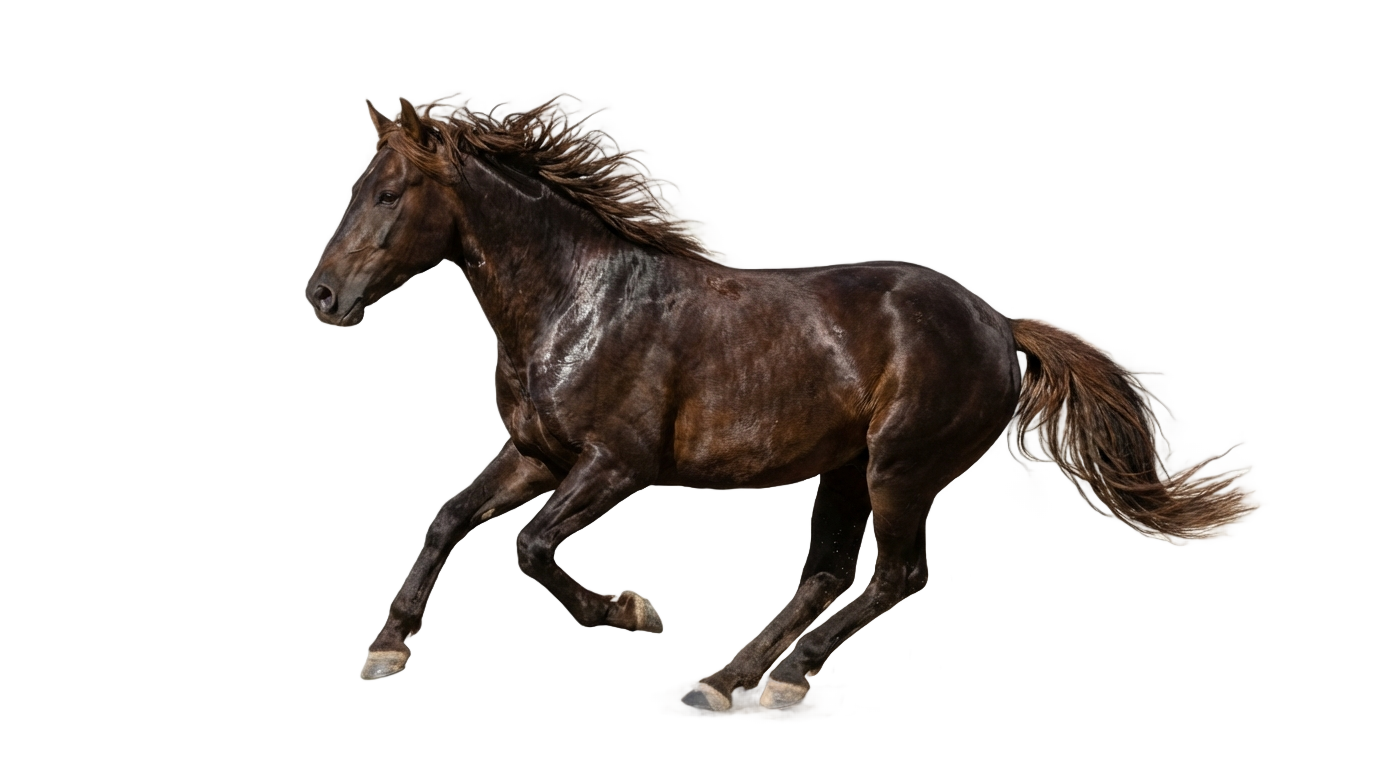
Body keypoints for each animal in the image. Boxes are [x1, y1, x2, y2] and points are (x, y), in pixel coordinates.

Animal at [304, 98, 1247, 711]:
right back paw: (728, 682)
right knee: (825, 578)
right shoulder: (539, 455)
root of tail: (1000, 325)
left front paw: (626, 614)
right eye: (356, 188)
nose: (321, 295)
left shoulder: (617, 465)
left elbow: (531, 547)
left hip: (900, 467)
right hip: (845, 471)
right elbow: (449, 518)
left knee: (892, 575)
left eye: (388, 193)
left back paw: (786, 679)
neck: (578, 303)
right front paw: (386, 652)